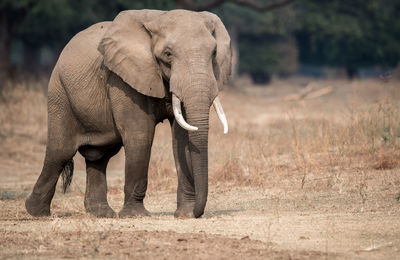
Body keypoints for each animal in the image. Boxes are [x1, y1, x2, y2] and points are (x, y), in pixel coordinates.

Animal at [25, 9, 231, 218]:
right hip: (59, 94)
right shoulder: (123, 79)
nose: (198, 212)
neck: (158, 17)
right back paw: (36, 212)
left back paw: (101, 213)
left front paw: (185, 214)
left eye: (214, 53)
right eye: (168, 54)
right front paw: (136, 215)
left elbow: (181, 139)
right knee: (60, 152)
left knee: (100, 155)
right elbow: (141, 135)